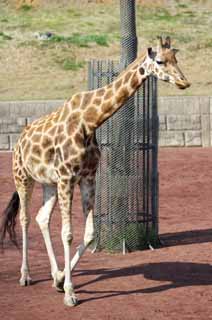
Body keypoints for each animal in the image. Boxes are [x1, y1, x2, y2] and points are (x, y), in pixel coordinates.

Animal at [0, 36, 190, 306]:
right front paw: (70, 293)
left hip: (49, 183)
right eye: (161, 61)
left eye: (176, 59)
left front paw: (61, 280)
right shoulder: (67, 177)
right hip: (23, 177)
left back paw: (53, 274)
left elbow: (89, 234)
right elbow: (67, 233)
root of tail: (19, 141)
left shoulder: (87, 177)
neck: (89, 121)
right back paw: (25, 276)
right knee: (25, 219)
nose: (185, 82)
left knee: (41, 218)